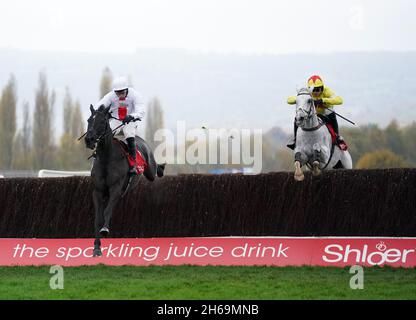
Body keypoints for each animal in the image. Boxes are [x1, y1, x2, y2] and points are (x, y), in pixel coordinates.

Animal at [84, 105, 164, 258]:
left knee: (155, 171)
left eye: (102, 121)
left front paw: (105, 230)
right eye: (89, 120)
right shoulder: (97, 191)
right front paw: (96, 248)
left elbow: (107, 211)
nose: (89, 139)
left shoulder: (116, 188)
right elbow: (97, 218)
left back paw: (161, 168)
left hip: (150, 170)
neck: (106, 158)